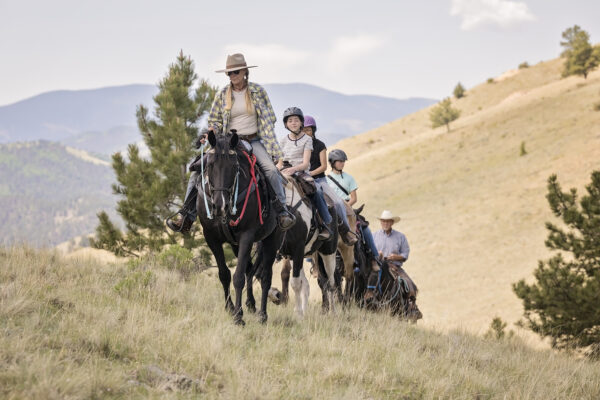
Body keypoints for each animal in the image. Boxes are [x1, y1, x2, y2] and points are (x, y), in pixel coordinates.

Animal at [196, 131, 280, 325]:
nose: (220, 205)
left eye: (234, 166)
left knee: (265, 277)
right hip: (236, 245)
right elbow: (224, 274)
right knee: (251, 271)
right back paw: (251, 304)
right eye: (209, 164)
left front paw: (238, 317)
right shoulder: (211, 237)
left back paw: (262, 315)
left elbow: (238, 276)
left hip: (272, 239)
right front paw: (230, 308)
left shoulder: (246, 236)